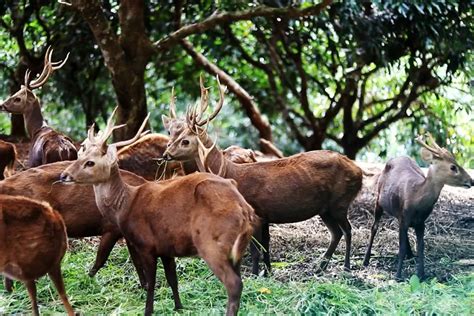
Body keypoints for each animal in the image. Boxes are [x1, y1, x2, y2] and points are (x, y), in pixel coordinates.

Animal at [62, 108, 260, 316]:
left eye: (90, 162)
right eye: (80, 155)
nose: (64, 175)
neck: (125, 204)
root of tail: (244, 209)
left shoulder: (147, 244)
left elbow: (151, 283)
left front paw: (148, 311)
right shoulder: (166, 247)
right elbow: (172, 279)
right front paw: (179, 307)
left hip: (211, 242)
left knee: (234, 284)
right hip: (235, 251)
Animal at [162, 77, 362, 276]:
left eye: (185, 141)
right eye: (171, 133)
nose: (166, 154)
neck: (229, 173)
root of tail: (358, 171)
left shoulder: (256, 213)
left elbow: (255, 250)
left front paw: (255, 274)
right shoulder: (265, 216)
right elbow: (266, 246)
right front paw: (268, 272)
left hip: (340, 201)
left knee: (347, 230)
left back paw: (346, 267)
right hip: (325, 208)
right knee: (336, 232)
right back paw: (320, 268)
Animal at [362, 133, 470, 278]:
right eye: (453, 167)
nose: (471, 181)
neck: (416, 198)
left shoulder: (420, 222)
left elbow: (421, 247)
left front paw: (421, 275)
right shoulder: (404, 216)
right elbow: (401, 247)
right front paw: (398, 275)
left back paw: (410, 255)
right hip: (378, 200)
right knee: (374, 227)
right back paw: (366, 260)